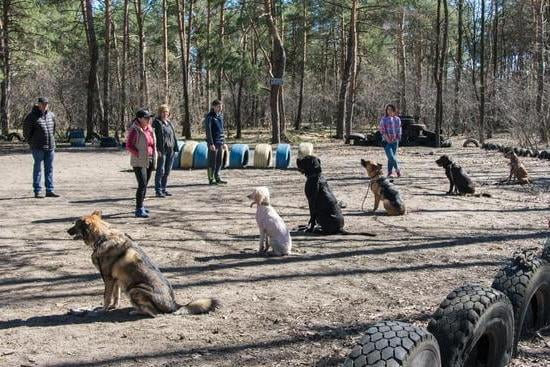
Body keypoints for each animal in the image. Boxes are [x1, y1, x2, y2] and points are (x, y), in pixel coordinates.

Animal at [69, 211, 222, 318]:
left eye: (75, 224)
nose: (66, 230)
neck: (103, 237)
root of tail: (174, 305)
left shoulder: (108, 279)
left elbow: (106, 297)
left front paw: (103, 310)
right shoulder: (115, 280)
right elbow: (115, 296)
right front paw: (113, 306)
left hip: (134, 289)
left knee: (154, 314)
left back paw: (136, 311)